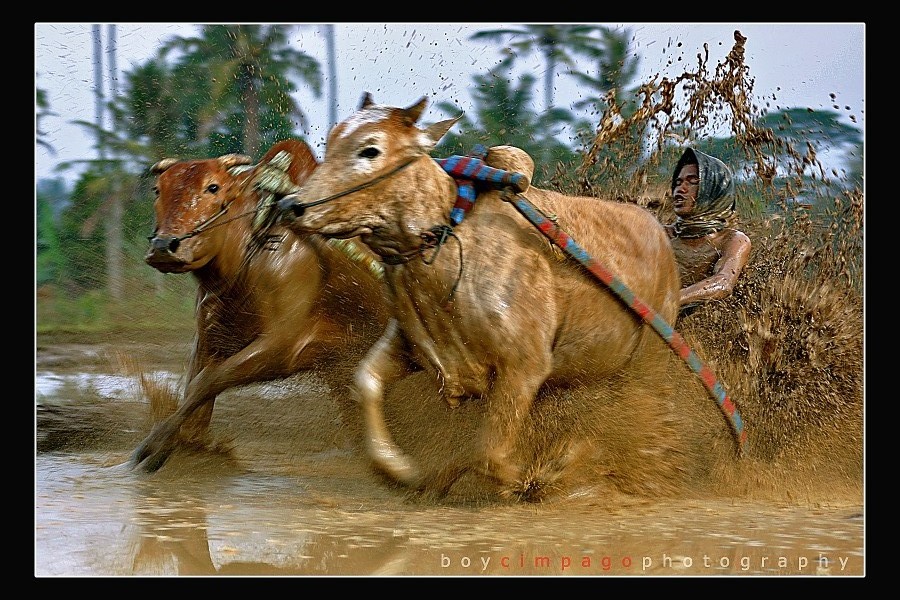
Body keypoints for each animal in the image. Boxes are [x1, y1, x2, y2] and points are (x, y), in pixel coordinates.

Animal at [133, 138, 390, 472]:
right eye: (158, 189)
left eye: (213, 187)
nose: (165, 246)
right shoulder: (209, 339)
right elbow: (196, 391)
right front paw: (183, 446)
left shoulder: (281, 348)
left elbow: (207, 382)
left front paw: (154, 445)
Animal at [278, 94, 680, 496]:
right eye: (332, 142)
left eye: (370, 149)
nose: (290, 206)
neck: (447, 236)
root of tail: (660, 234)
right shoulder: (410, 344)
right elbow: (366, 382)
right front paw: (403, 469)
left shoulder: (525, 367)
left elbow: (491, 453)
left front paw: (542, 476)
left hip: (650, 362)